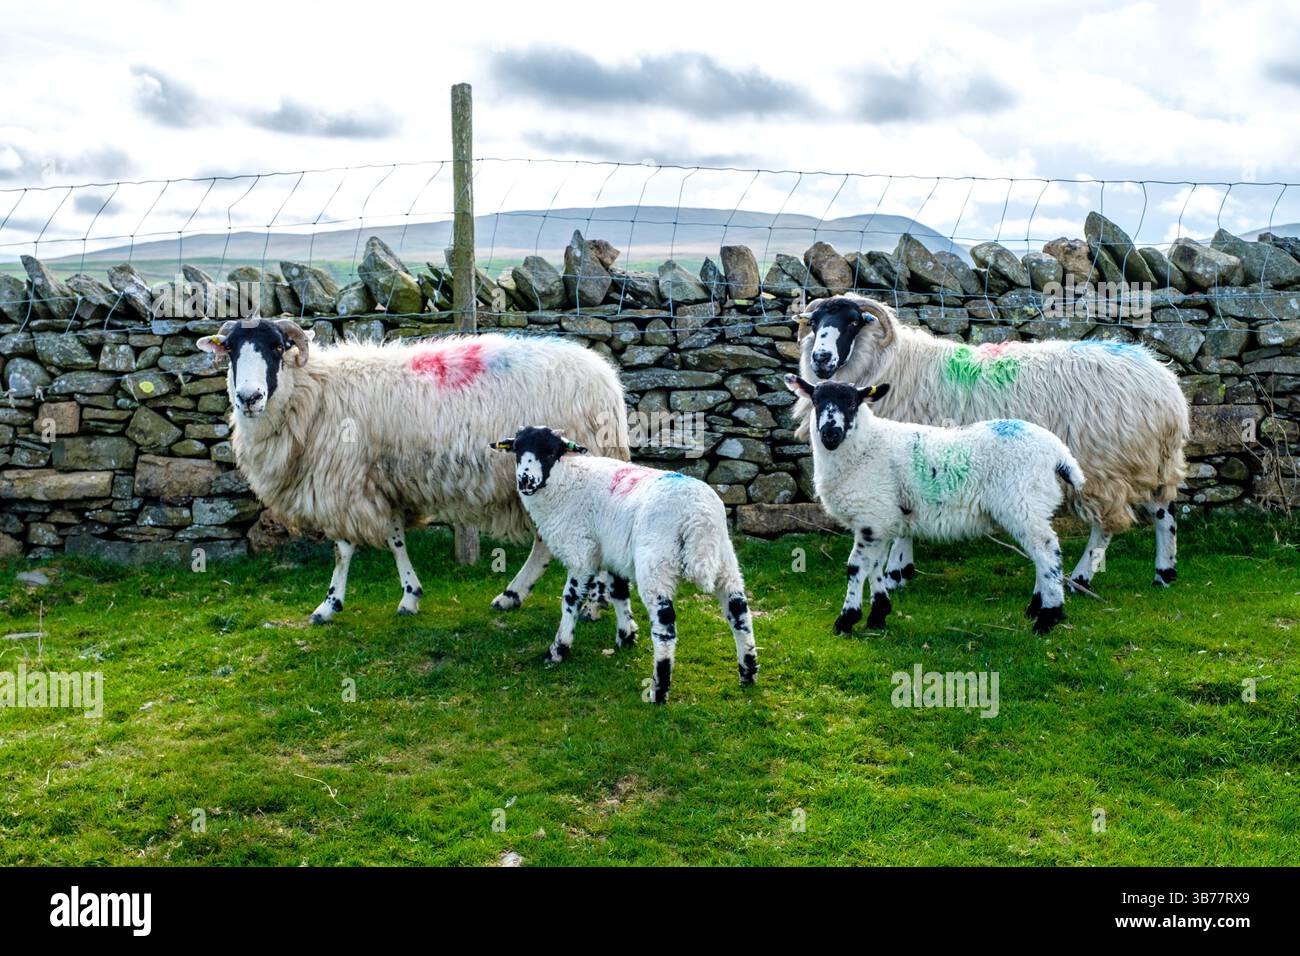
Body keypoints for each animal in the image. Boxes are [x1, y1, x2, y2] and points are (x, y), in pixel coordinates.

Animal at [196, 318, 630, 622]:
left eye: (276, 346)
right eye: (231, 349)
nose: (248, 397)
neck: (313, 392)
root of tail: (606, 379)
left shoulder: (347, 482)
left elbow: (344, 548)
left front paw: (330, 604)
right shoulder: (379, 480)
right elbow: (395, 539)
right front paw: (410, 595)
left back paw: (584, 606)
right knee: (547, 543)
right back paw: (514, 596)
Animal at [490, 425, 758, 704]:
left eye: (551, 451)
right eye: (517, 449)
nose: (525, 480)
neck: (566, 479)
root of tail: (698, 518)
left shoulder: (581, 553)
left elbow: (571, 600)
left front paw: (559, 649)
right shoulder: (613, 554)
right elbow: (619, 593)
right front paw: (626, 636)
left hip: (656, 564)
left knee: (665, 625)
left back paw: (659, 689)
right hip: (725, 562)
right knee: (739, 612)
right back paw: (748, 673)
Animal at [786, 375, 1086, 634]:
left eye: (852, 403)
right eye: (816, 402)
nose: (830, 434)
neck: (865, 445)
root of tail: (1059, 453)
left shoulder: (871, 515)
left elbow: (857, 567)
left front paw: (847, 620)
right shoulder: (882, 519)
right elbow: (875, 566)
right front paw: (878, 614)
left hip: (1022, 502)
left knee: (1047, 551)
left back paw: (1048, 617)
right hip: (1032, 506)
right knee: (1040, 553)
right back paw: (1036, 608)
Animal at [795, 294, 1189, 592]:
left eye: (852, 322)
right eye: (815, 323)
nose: (821, 358)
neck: (894, 367)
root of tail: (1165, 385)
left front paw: (894, 573)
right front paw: (902, 571)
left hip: (1104, 462)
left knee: (1107, 524)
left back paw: (1081, 578)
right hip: (1149, 458)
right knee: (1164, 510)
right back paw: (1164, 572)